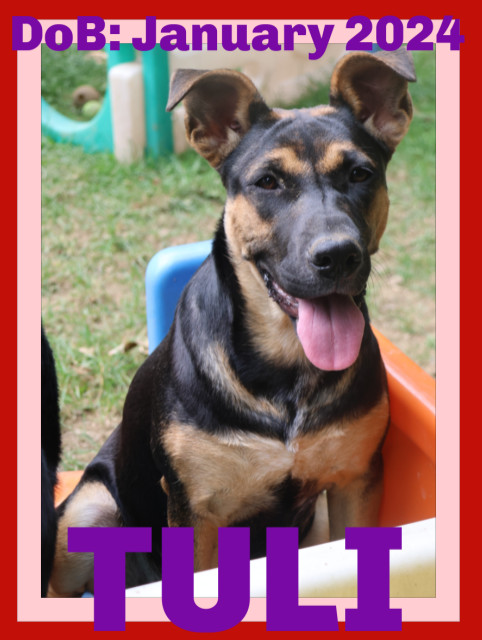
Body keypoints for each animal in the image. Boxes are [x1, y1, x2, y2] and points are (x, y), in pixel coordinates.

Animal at [50, 48, 418, 596]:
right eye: (268, 182)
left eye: (360, 174)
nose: (337, 255)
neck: (287, 368)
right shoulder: (196, 509)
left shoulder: (355, 482)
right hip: (86, 510)